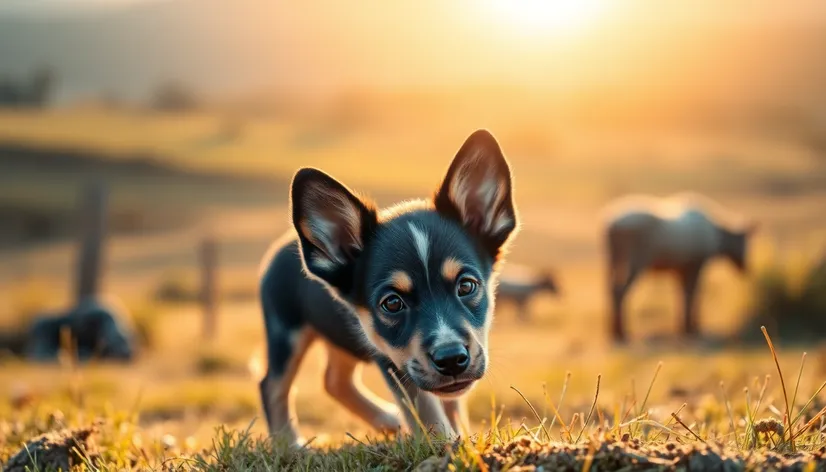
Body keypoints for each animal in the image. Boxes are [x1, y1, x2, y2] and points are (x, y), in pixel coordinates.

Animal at [600, 192, 756, 342]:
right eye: (745, 242)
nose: (746, 268)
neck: (718, 237)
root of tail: (610, 224)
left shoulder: (679, 269)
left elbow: (682, 294)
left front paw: (683, 327)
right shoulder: (696, 266)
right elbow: (693, 293)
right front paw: (692, 328)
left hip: (612, 261)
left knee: (610, 290)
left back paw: (613, 332)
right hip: (635, 262)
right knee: (620, 291)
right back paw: (621, 333)